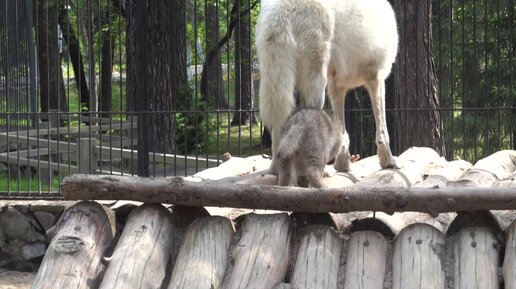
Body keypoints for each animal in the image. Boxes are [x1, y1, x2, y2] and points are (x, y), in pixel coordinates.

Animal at [256, 0, 400, 171]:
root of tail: (280, 11)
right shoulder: (376, 78)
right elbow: (382, 130)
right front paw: (388, 161)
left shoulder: (336, 86)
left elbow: (343, 134)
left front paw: (342, 164)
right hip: (316, 84)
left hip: (280, 83)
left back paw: (276, 169)